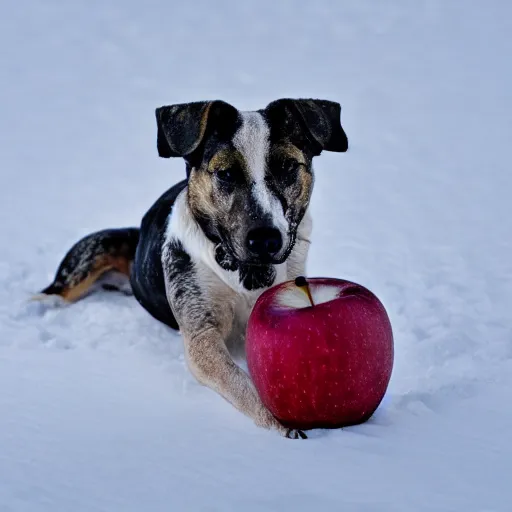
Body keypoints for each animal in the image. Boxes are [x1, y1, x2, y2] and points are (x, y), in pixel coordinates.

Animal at [40, 98, 348, 438]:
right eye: (225, 173)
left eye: (288, 166)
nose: (266, 239)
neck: (246, 272)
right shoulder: (201, 332)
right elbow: (237, 380)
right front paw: (278, 422)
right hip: (93, 255)